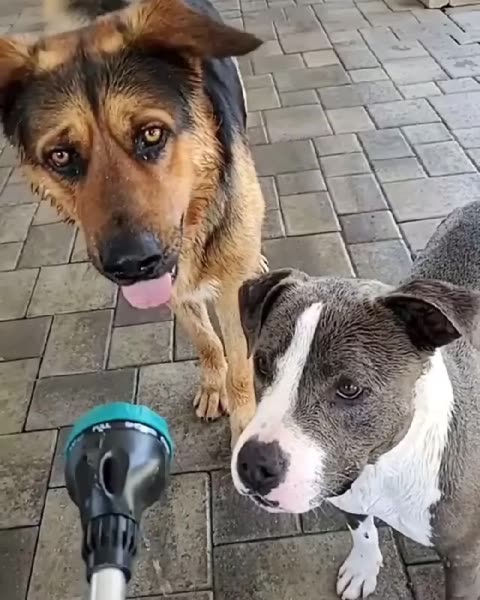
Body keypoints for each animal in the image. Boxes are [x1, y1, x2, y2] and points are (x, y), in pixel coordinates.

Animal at [0, 0, 266, 444]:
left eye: (152, 134)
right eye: (61, 156)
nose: (132, 265)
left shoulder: (228, 290)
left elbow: (242, 368)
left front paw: (243, 424)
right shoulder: (172, 285)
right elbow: (205, 339)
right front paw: (214, 382)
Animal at [231, 200, 480, 600]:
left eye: (349, 388)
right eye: (264, 364)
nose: (253, 466)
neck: (384, 466)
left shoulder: (464, 559)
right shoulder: (346, 490)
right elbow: (362, 532)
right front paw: (363, 568)